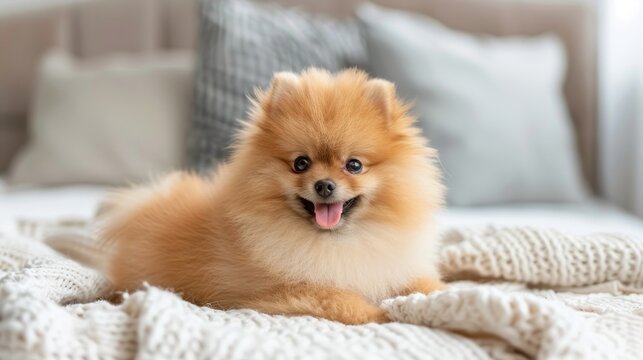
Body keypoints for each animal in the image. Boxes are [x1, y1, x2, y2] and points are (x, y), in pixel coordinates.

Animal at [98, 69, 446, 324]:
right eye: (300, 163)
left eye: (354, 165)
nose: (324, 185)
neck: (337, 241)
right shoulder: (288, 292)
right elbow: (342, 300)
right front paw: (382, 313)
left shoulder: (392, 266)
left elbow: (425, 284)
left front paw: (442, 295)